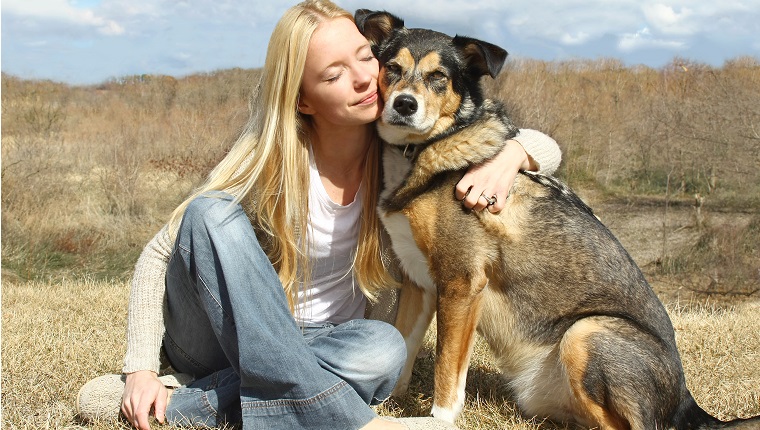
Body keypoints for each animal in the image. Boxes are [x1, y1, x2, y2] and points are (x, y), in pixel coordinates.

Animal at [356, 9, 760, 430]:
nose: (404, 104)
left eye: (439, 76)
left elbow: (447, 371)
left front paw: (436, 420)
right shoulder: (420, 283)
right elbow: (403, 345)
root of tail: (686, 404)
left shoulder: (461, 282)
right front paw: (388, 405)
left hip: (586, 332)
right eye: (391, 67)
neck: (423, 152)